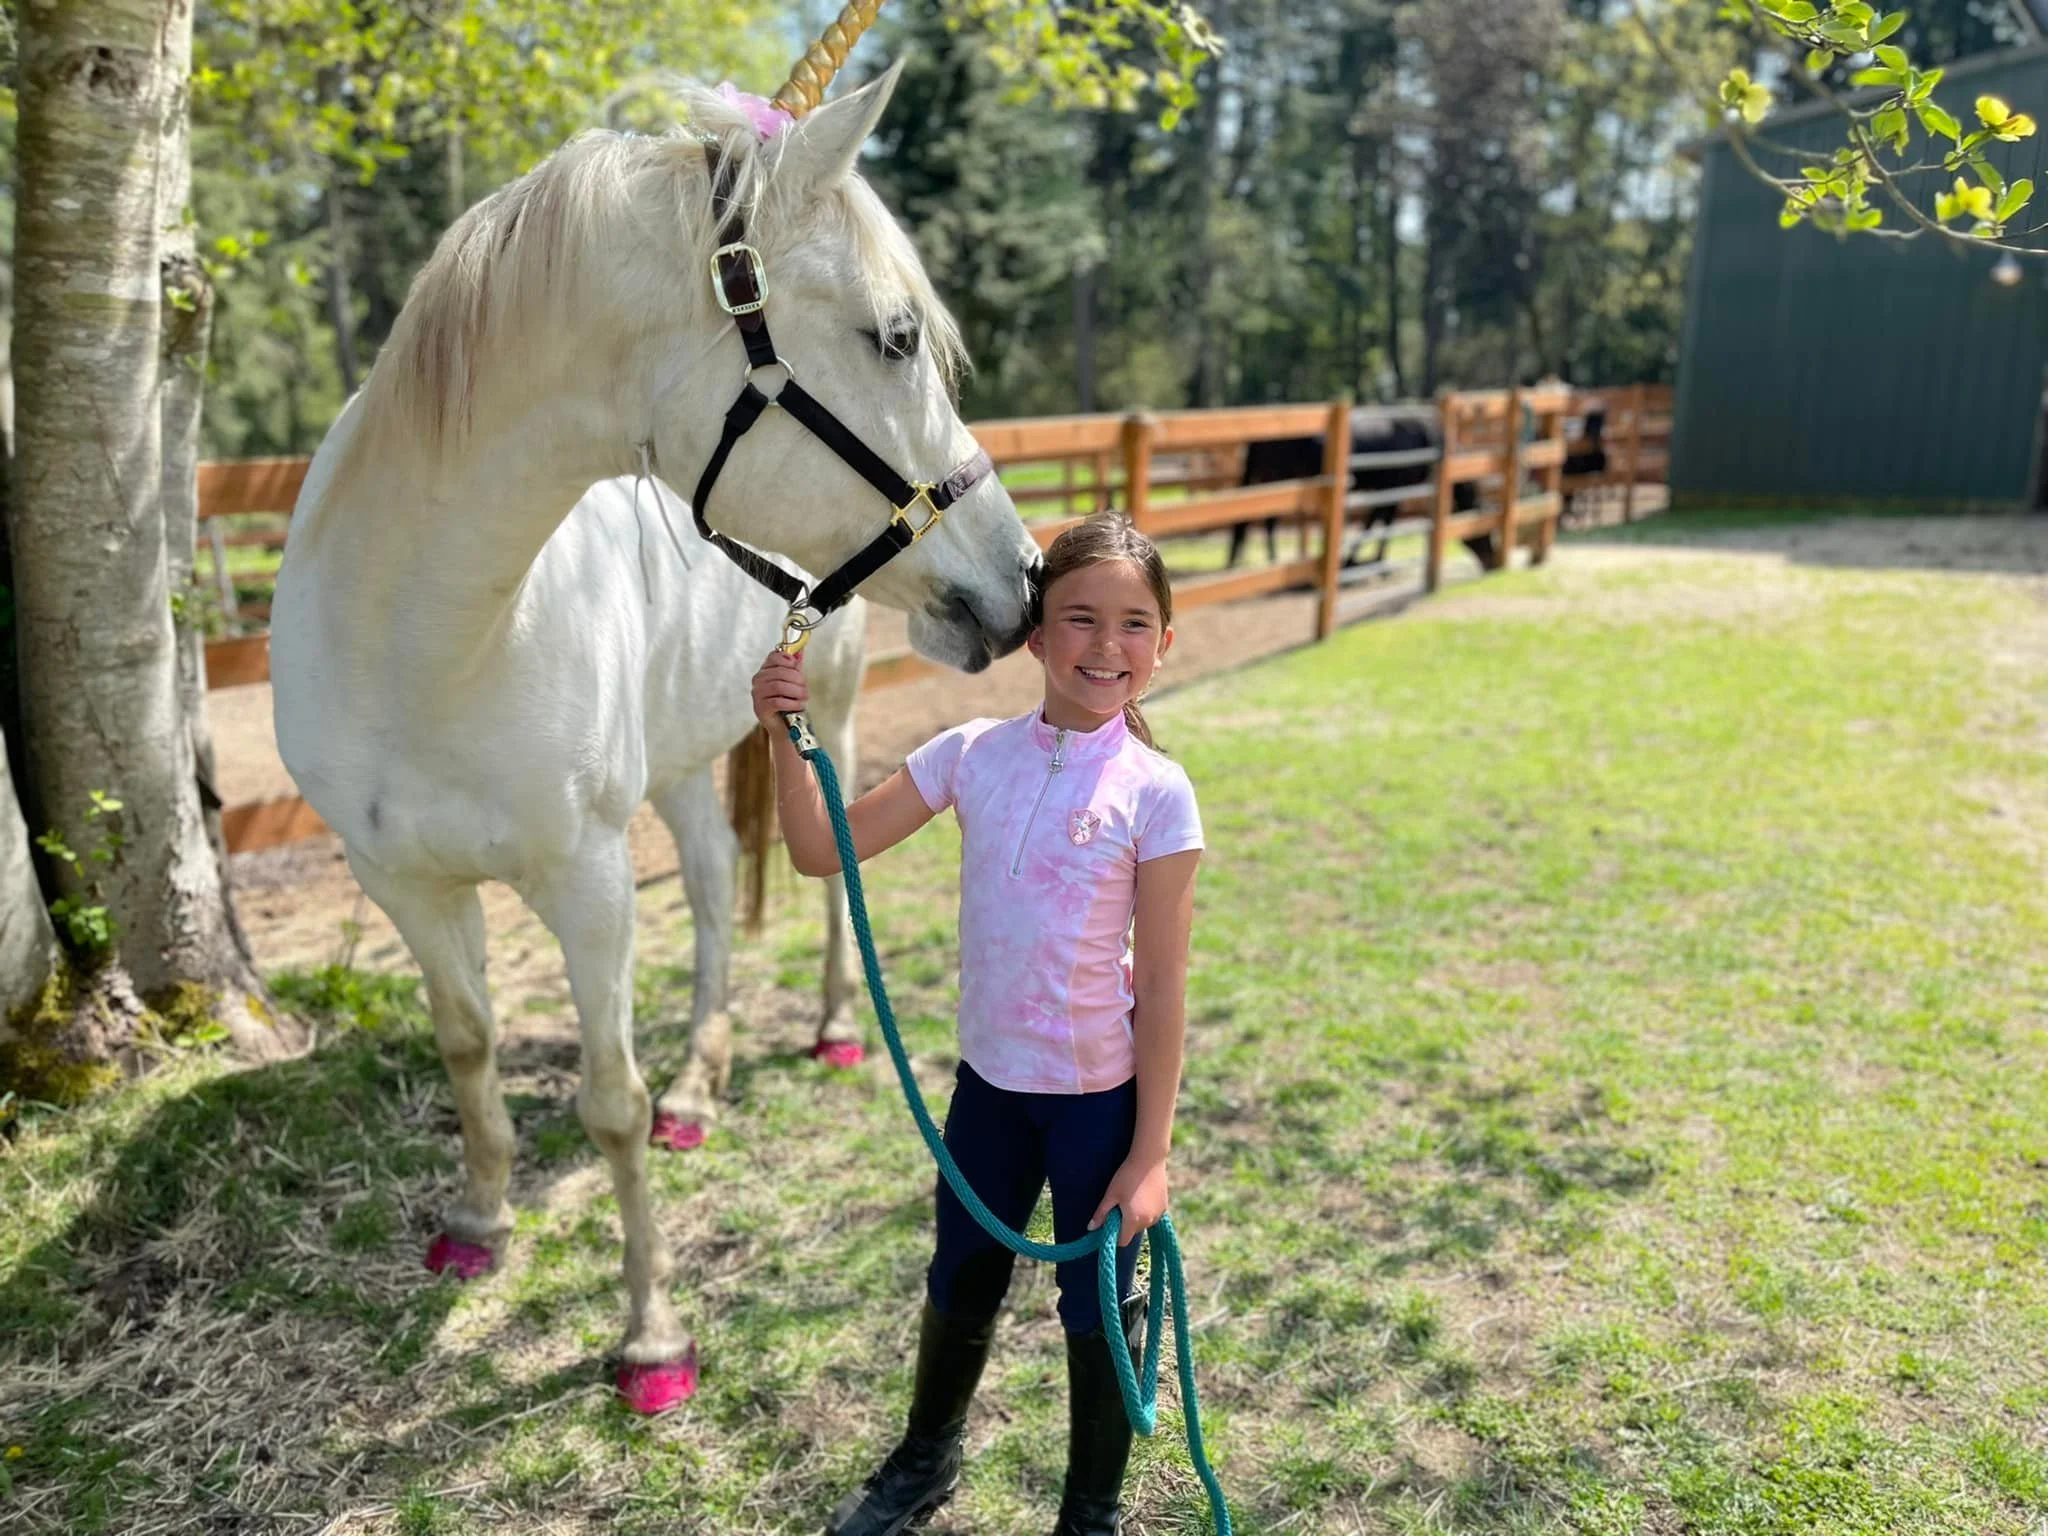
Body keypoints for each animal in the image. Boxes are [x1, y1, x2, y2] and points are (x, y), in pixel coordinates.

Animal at [269, 66, 1041, 1407]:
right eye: (894, 337)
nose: (1026, 577)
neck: (423, 644)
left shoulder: (586, 886)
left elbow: (608, 1107)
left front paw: (650, 1337)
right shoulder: (402, 884)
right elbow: (467, 1050)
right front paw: (481, 1224)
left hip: (832, 715)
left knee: (816, 889)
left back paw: (832, 1031)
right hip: (685, 763)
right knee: (716, 894)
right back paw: (700, 1079)